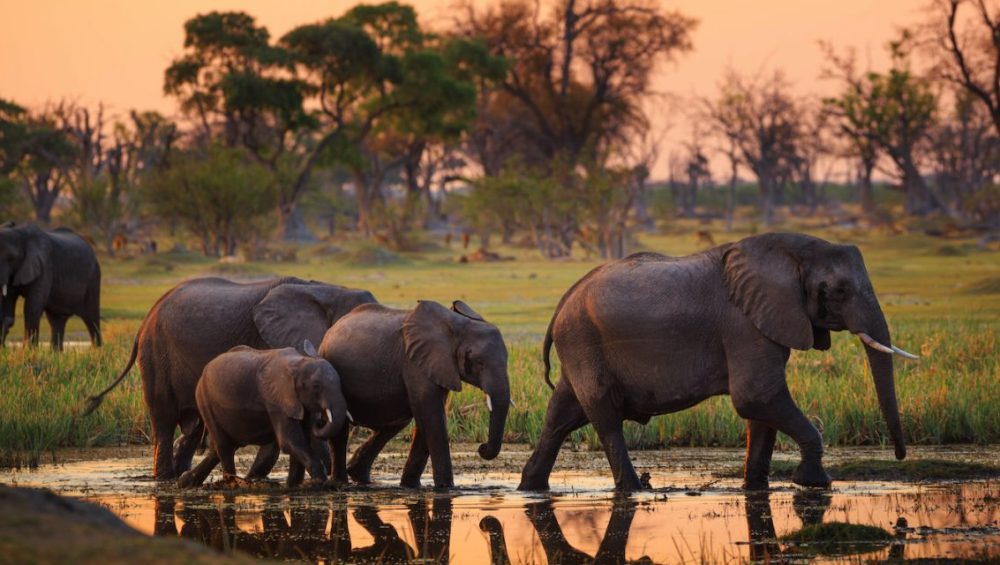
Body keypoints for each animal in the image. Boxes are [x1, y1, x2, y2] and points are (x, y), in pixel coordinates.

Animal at [177, 342, 350, 488]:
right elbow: (289, 440)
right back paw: (231, 483)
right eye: (316, 386)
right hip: (204, 400)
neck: (298, 363)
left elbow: (304, 438)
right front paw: (320, 481)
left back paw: (185, 481)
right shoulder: (276, 400)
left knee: (223, 447)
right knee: (224, 446)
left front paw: (294, 485)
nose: (321, 420)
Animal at [318, 300, 511, 489]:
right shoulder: (414, 363)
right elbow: (432, 417)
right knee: (340, 430)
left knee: (394, 424)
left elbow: (428, 417)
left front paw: (410, 486)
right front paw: (446, 488)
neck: (456, 325)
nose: (481, 448)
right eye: (478, 361)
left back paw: (359, 476)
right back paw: (341, 482)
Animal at [518, 232, 917, 492]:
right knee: (605, 418)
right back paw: (635, 489)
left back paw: (530, 487)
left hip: (579, 346)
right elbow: (755, 396)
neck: (793, 253)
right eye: (839, 291)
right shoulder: (744, 324)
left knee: (561, 415)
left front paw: (755, 487)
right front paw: (814, 483)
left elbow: (761, 410)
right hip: (583, 341)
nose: (900, 456)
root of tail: (563, 302)